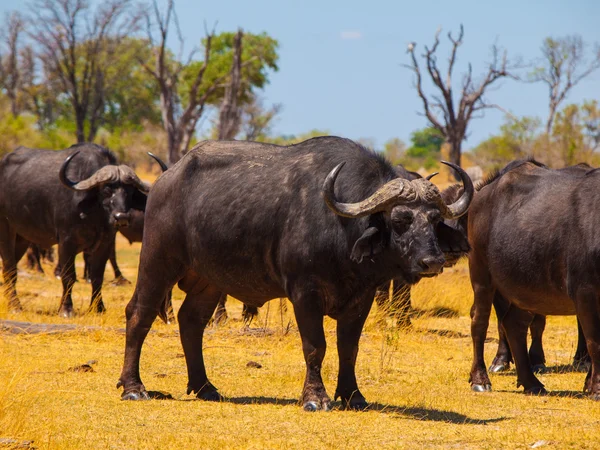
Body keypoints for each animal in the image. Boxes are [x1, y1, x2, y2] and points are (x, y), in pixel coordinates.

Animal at [0, 144, 149, 316]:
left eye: (129, 192)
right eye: (106, 190)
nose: (121, 217)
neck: (94, 216)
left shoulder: (104, 244)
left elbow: (97, 276)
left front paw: (98, 308)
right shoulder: (66, 243)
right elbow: (69, 276)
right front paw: (66, 309)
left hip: (22, 238)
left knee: (11, 267)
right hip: (6, 229)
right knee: (10, 268)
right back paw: (15, 306)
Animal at [116, 135, 474, 410]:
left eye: (434, 219)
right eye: (399, 219)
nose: (432, 261)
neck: (341, 229)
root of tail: (165, 180)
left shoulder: (362, 298)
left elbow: (349, 348)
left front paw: (353, 395)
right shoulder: (305, 294)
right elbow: (315, 346)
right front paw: (315, 398)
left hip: (209, 279)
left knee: (191, 321)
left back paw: (205, 387)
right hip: (158, 260)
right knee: (139, 313)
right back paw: (134, 387)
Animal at [468, 159, 600, 398]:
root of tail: (482, 194)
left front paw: (589, 383)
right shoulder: (586, 292)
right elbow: (595, 340)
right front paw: (596, 388)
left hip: (526, 289)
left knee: (513, 324)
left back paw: (531, 381)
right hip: (481, 275)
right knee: (479, 322)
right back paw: (480, 379)